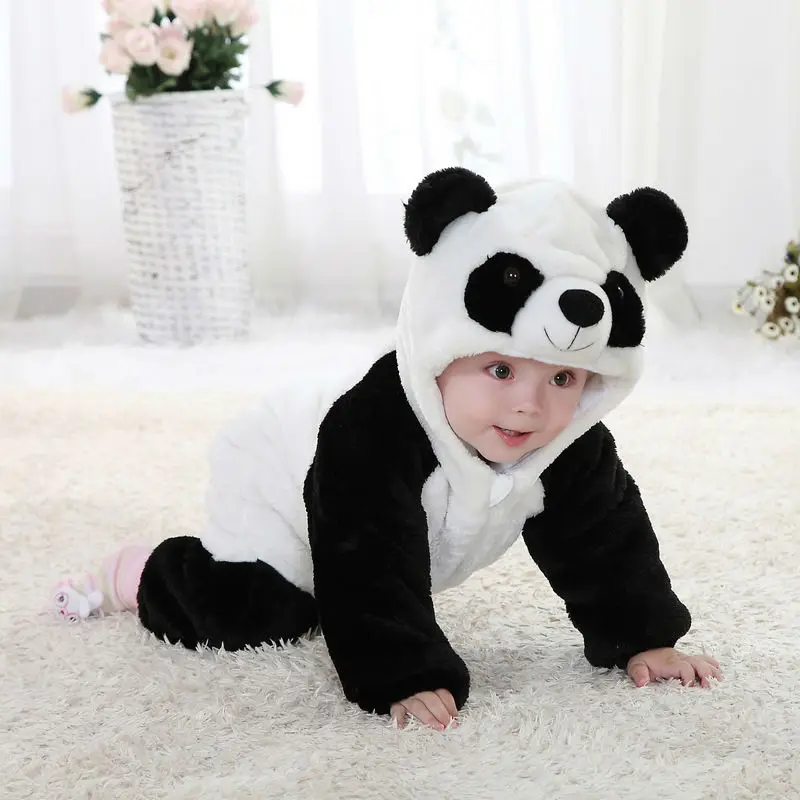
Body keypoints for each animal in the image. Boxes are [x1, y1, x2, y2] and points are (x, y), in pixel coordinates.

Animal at [138, 166, 693, 717]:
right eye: (500, 370)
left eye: (561, 380)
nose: (581, 304)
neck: (478, 461)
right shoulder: (367, 435)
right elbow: (371, 561)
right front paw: (418, 692)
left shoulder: (580, 454)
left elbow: (605, 542)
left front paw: (657, 653)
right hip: (257, 518)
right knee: (238, 600)